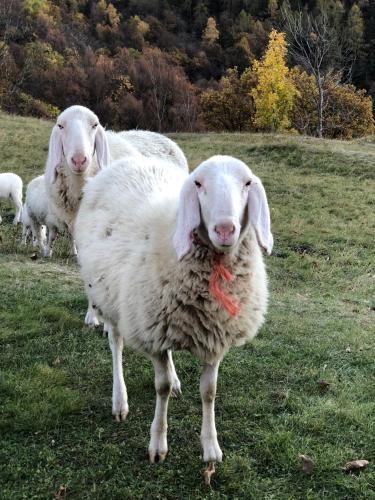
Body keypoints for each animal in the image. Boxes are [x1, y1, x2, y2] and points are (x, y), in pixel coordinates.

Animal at [75, 154, 274, 470]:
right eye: (199, 184)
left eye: (247, 183)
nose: (225, 229)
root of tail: (129, 160)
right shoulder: (151, 331)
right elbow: (162, 387)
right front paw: (158, 444)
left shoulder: (214, 338)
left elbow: (209, 391)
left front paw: (211, 447)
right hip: (110, 297)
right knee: (116, 345)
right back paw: (119, 401)